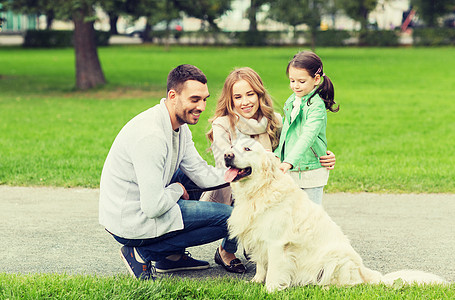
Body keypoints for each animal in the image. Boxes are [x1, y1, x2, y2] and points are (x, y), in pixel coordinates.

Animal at [224, 141, 446, 292]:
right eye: (232, 146)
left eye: (247, 149)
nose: (226, 155)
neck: (259, 190)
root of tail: (371, 274)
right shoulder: (259, 237)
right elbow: (262, 266)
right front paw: (255, 282)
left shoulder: (277, 243)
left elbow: (274, 271)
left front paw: (269, 290)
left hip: (336, 259)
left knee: (350, 285)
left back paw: (326, 288)